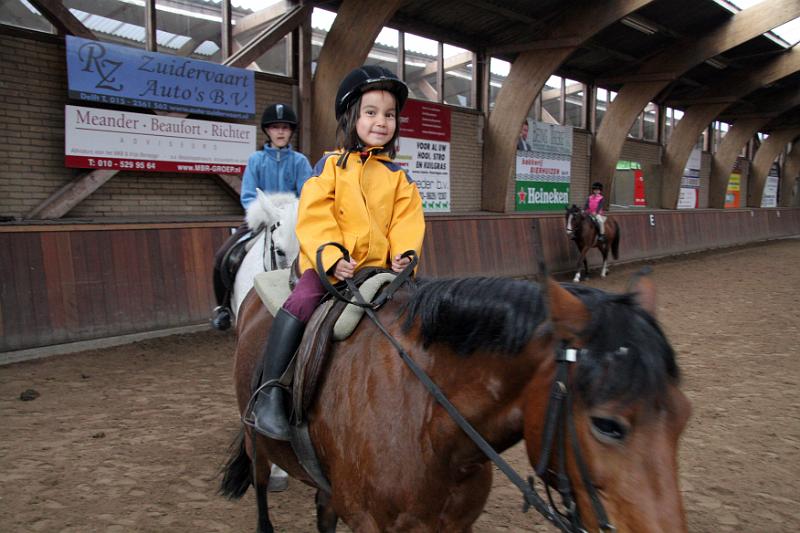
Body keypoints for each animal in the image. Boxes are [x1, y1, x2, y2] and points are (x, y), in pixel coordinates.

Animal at [220, 269, 690, 532]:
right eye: (608, 425)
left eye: (683, 418)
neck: (428, 423)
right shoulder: (371, 524)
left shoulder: (455, 525)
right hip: (256, 443)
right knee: (261, 489)